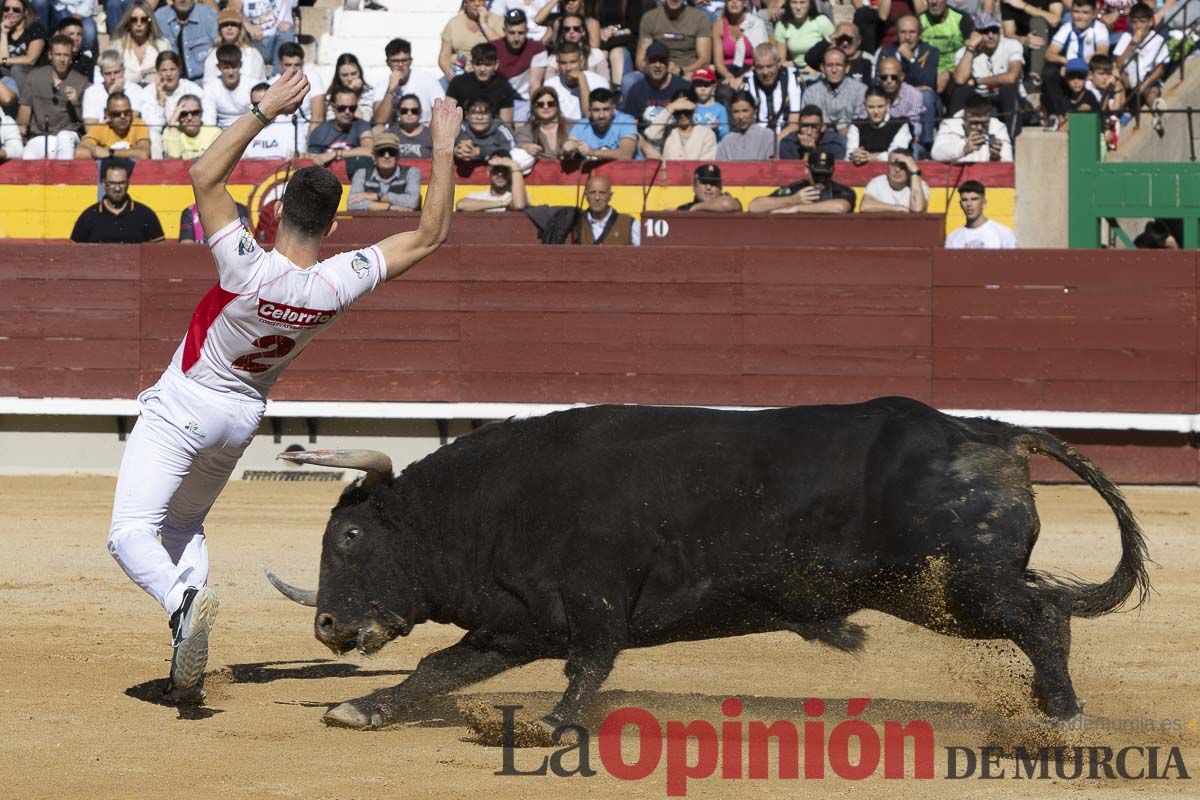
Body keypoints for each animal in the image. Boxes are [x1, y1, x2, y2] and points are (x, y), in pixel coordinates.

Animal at [267, 398, 1147, 734]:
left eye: (350, 538)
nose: (328, 624)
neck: (489, 504)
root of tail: (986, 430)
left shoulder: (593, 604)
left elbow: (589, 667)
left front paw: (554, 725)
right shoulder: (515, 626)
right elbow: (436, 671)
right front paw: (362, 708)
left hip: (953, 587)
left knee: (1043, 618)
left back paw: (1063, 719)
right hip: (941, 592)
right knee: (1043, 614)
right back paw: (1050, 709)